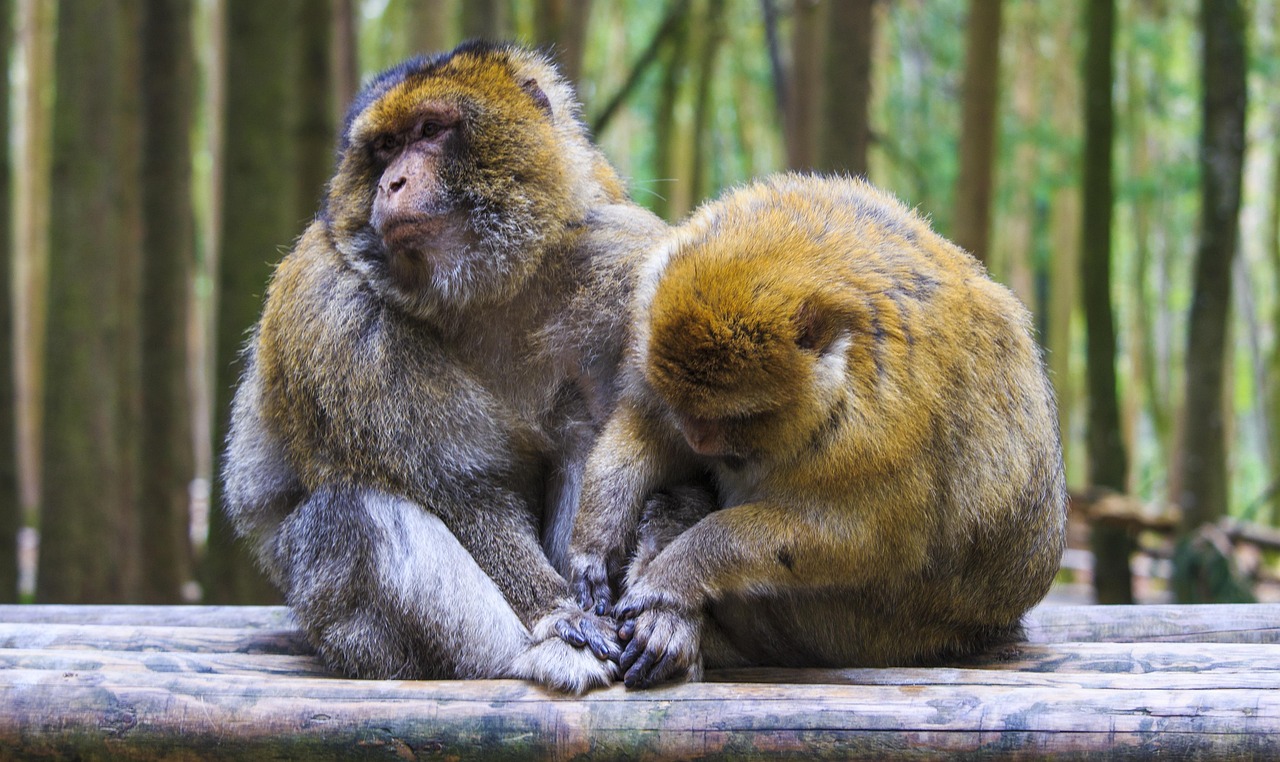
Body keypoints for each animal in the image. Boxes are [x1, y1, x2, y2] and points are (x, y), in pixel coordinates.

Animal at [221, 42, 668, 694]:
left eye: (430, 131)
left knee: (582, 431)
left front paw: (667, 614)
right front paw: (558, 616)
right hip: (346, 634)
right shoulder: (337, 312)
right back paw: (532, 654)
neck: (482, 289)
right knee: (352, 517)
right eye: (386, 147)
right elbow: (464, 490)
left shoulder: (623, 260)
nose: (392, 182)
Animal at [561, 173, 1067, 689]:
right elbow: (647, 429)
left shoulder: (879, 425)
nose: (700, 440)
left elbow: (846, 538)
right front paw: (595, 542)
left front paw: (675, 575)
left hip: (866, 633)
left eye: (738, 419)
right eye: (687, 409)